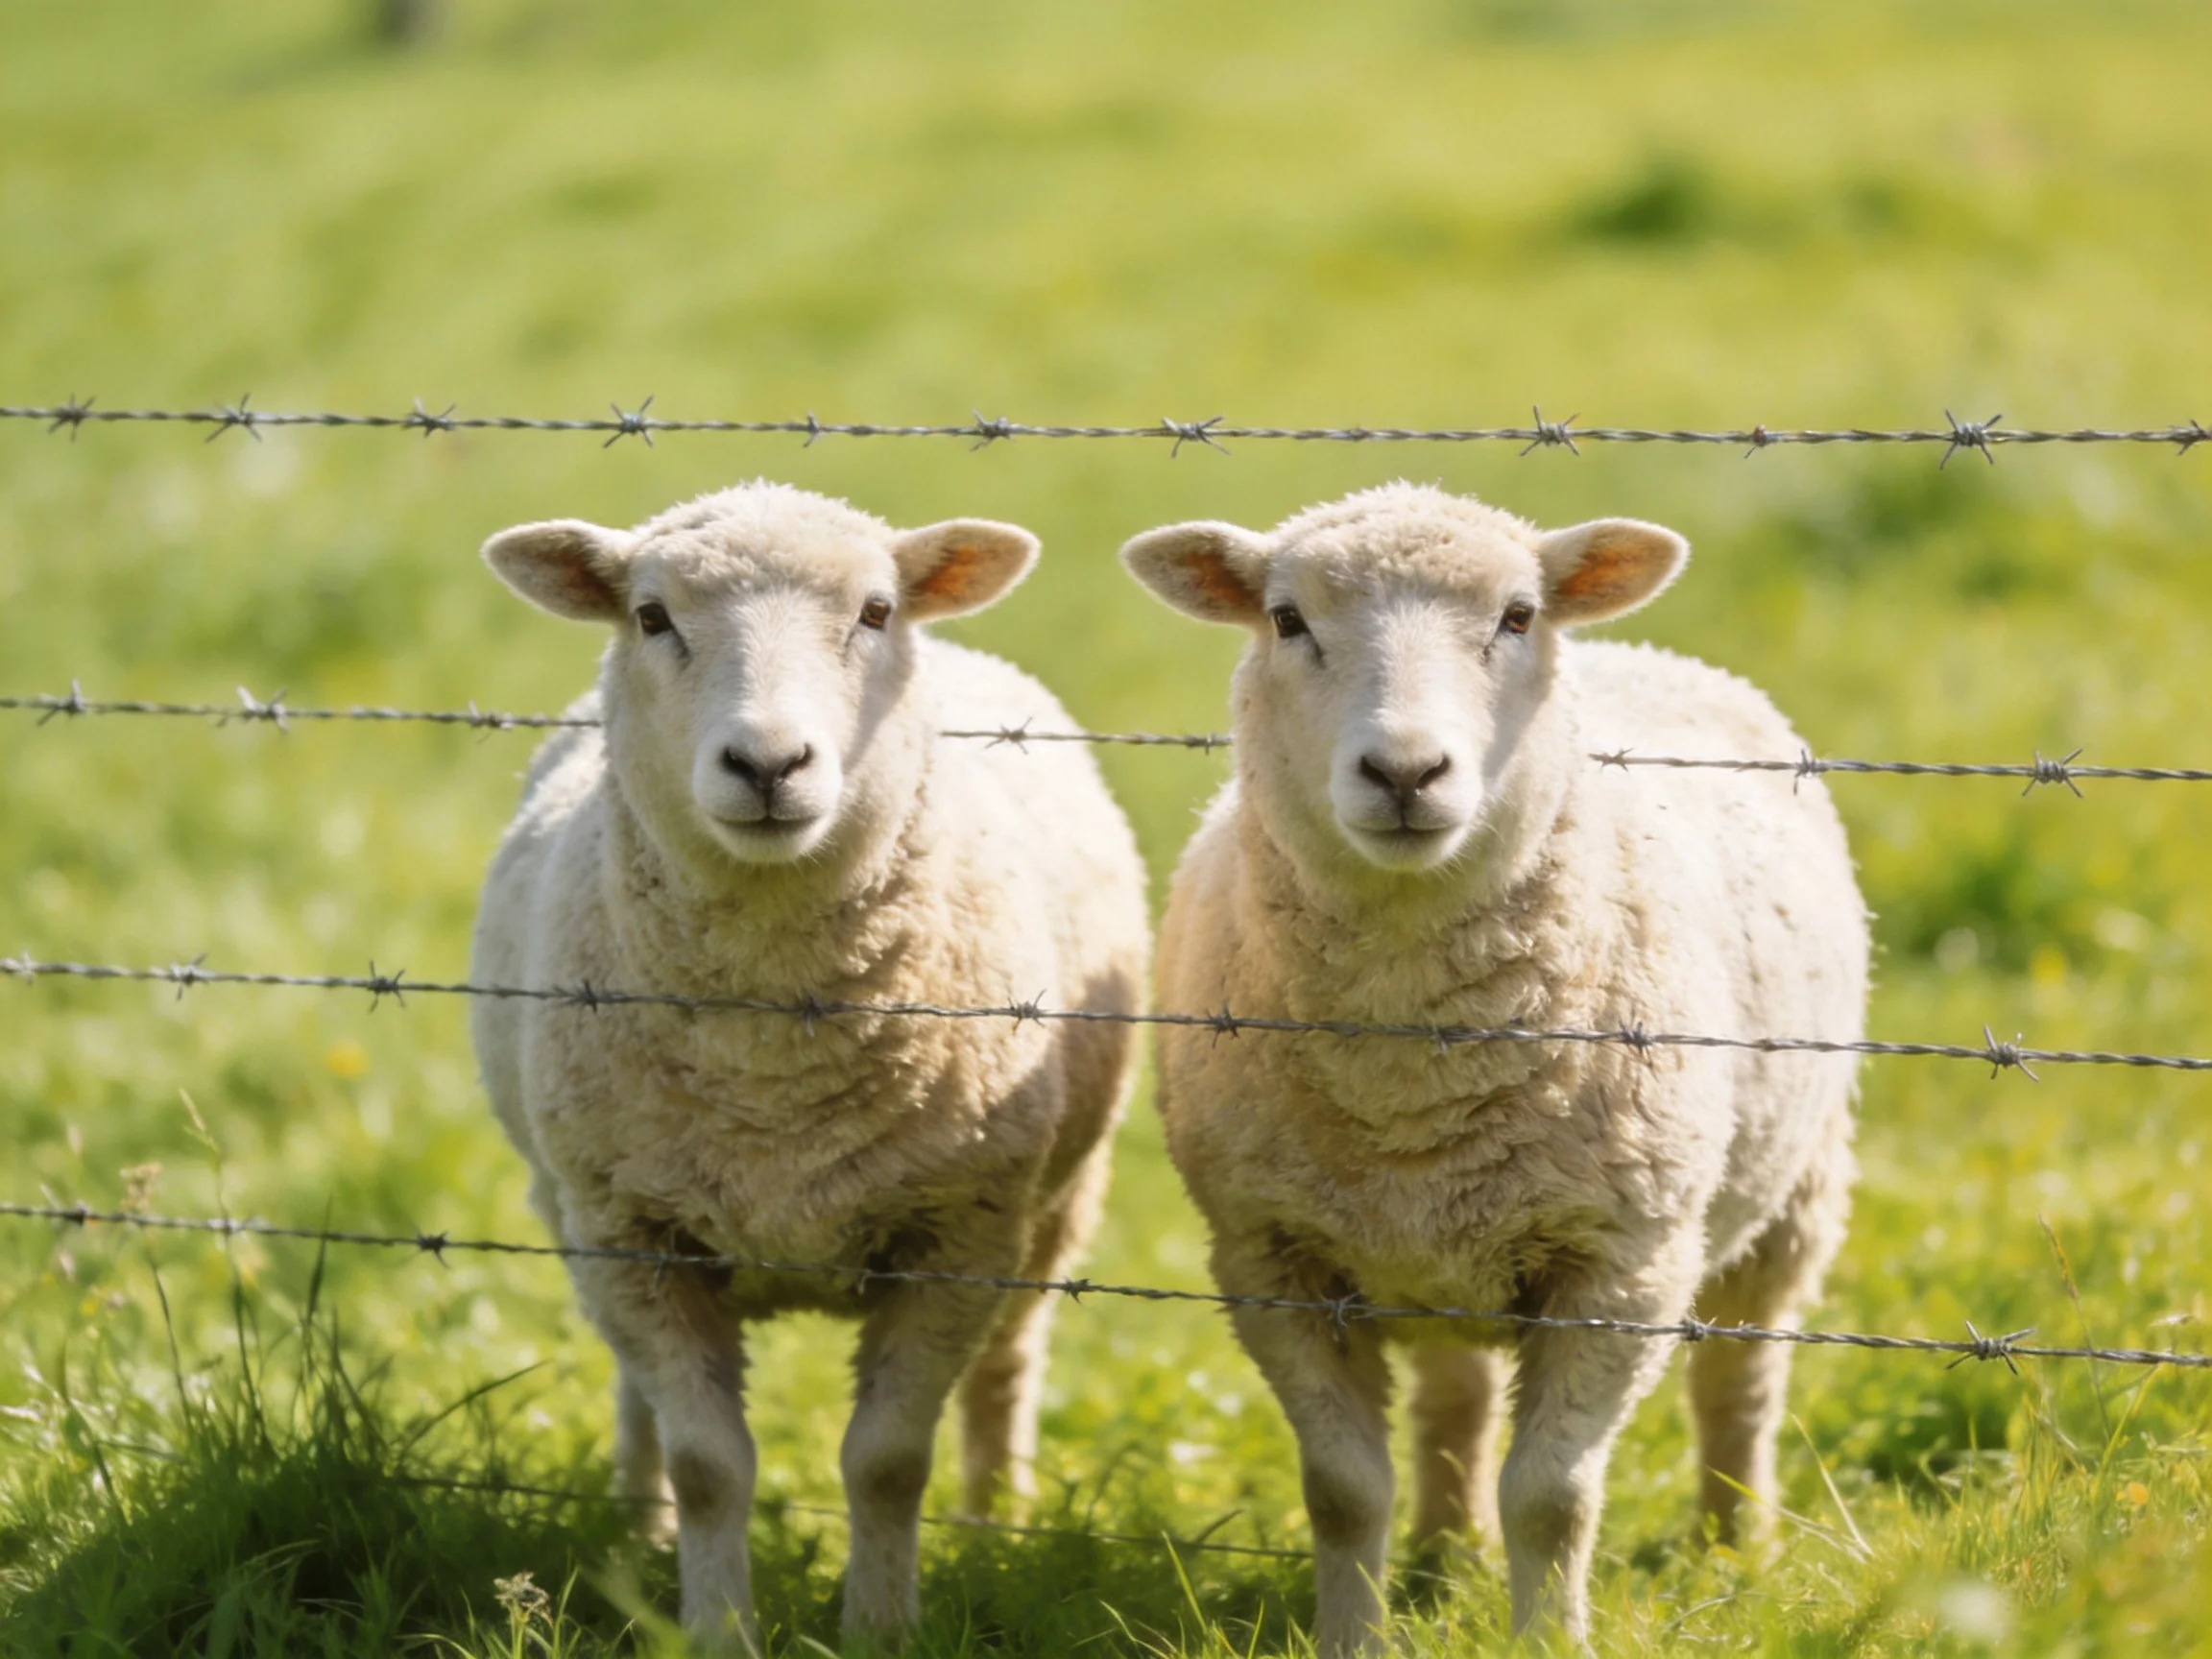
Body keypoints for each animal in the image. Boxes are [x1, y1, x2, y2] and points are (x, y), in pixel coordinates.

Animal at [471, 481, 1148, 1653]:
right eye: (651, 616)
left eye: (875, 612)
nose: (768, 766)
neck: (771, 1072)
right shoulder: (633, 1232)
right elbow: (707, 1464)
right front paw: (714, 1626)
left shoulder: (957, 1235)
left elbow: (887, 1462)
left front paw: (881, 1626)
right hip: (575, 1210)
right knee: (635, 1388)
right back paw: (639, 1533)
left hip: (1056, 1203)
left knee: (1008, 1369)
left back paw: (997, 1529)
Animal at [1120, 483, 1868, 1653]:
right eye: (1287, 620)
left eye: (1517, 617)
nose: (1404, 773)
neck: (1407, 1071)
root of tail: (1647, 647)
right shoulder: (1272, 1257)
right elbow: (1343, 1490)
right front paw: (1354, 1636)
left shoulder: (1622, 1265)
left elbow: (1552, 1496)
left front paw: (1550, 1637)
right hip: (1431, 1247)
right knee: (1453, 1393)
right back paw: (1441, 1554)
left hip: (1797, 1185)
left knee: (1743, 1372)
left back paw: (1735, 1546)